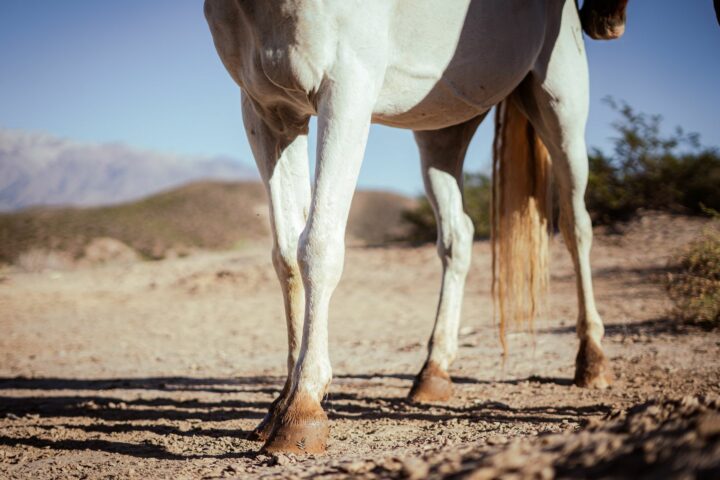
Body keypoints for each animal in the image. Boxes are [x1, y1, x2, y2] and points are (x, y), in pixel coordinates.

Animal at [205, 0, 627, 454]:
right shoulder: (268, 112)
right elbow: (285, 255)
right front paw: (281, 402)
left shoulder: (346, 88)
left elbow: (317, 245)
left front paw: (302, 408)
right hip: (443, 129)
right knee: (458, 237)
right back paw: (433, 372)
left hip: (560, 102)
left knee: (575, 225)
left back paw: (592, 359)